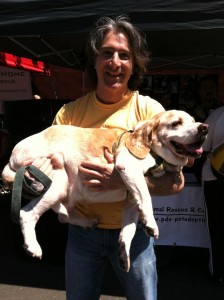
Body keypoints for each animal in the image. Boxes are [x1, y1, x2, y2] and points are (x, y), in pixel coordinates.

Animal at [1, 110, 208, 272]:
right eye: (176, 123)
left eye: (193, 120)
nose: (204, 128)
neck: (156, 155)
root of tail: (11, 157)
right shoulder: (130, 168)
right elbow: (147, 199)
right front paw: (151, 224)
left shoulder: (132, 201)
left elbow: (128, 230)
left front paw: (124, 254)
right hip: (57, 180)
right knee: (27, 213)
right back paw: (33, 246)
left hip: (64, 188)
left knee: (63, 215)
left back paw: (87, 221)